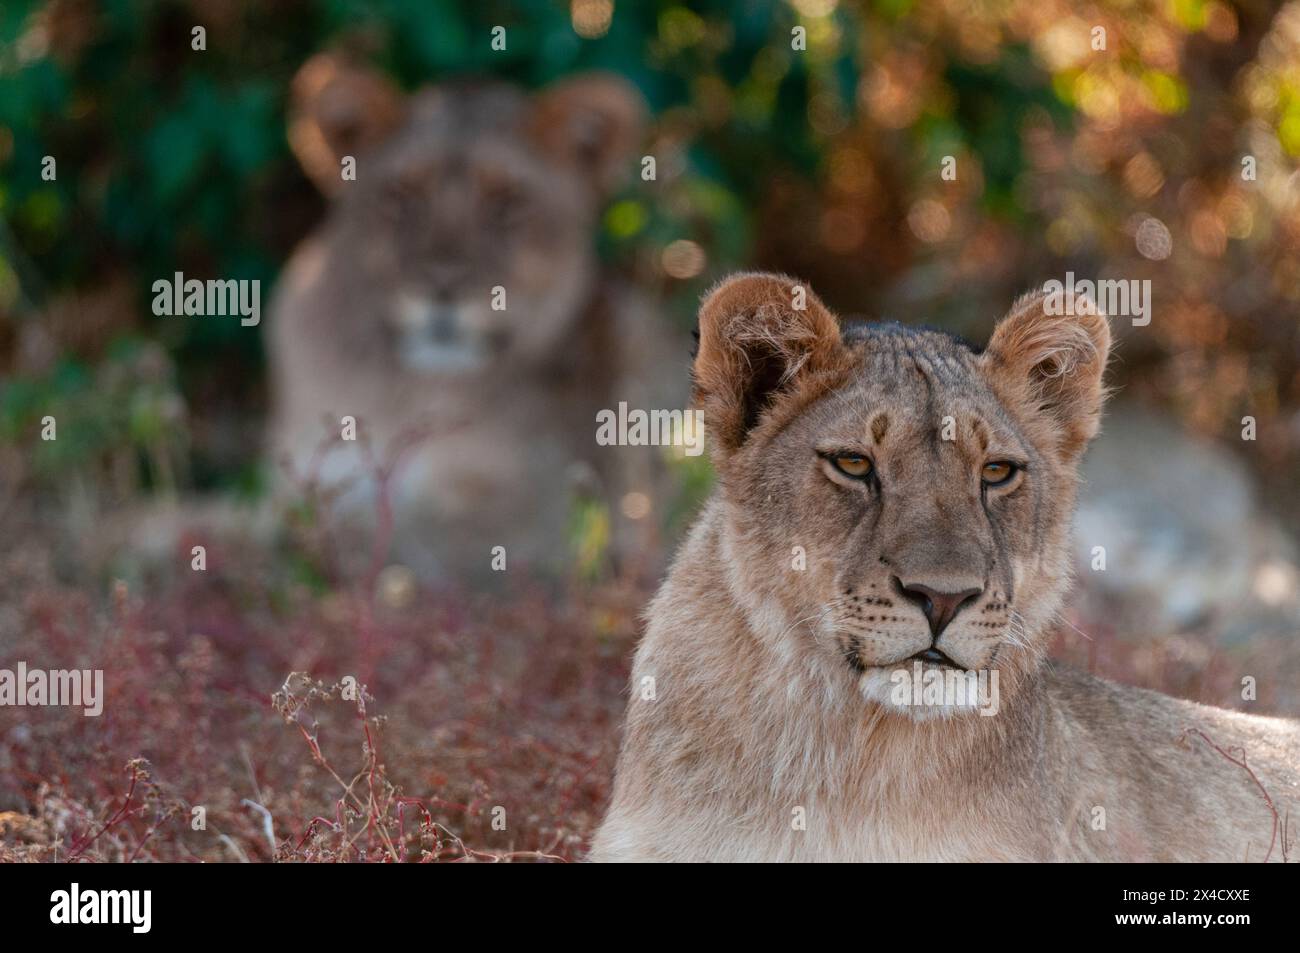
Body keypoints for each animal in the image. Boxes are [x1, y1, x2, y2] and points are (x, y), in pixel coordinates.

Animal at [267, 54, 678, 579]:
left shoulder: (549, 509)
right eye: (403, 196)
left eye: (506, 203)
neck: (409, 390)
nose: (442, 288)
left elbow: (385, 531)